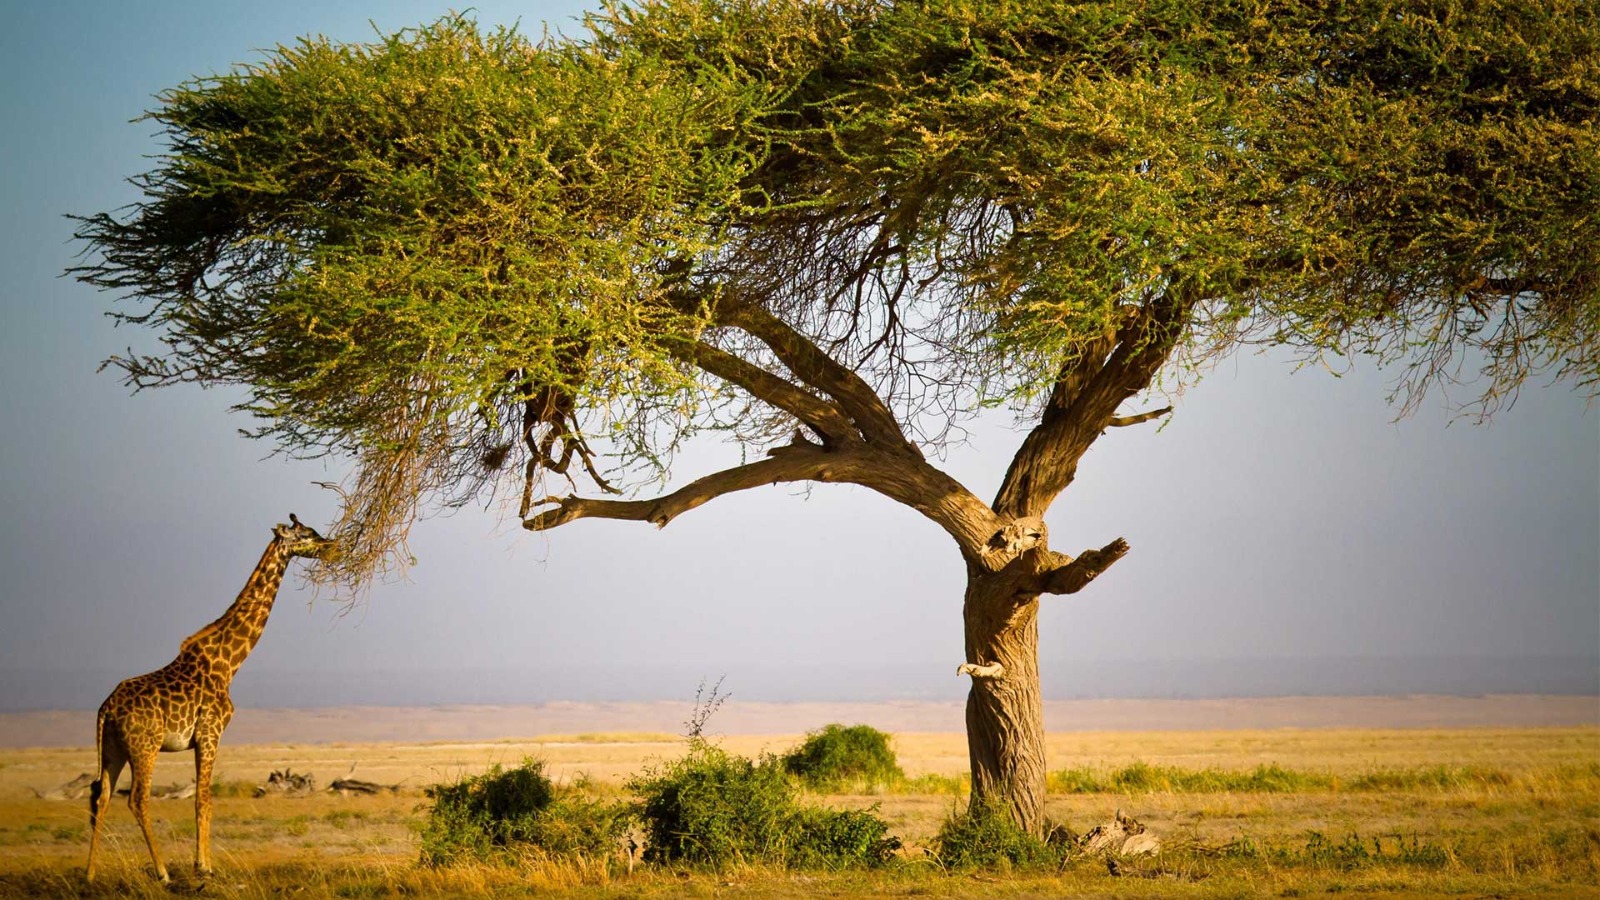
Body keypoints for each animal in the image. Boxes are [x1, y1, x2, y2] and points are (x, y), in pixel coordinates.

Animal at [86, 515, 335, 884]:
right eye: (306, 534)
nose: (332, 545)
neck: (228, 664)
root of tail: (106, 709)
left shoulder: (201, 738)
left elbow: (200, 798)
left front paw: (201, 863)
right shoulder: (210, 733)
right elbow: (204, 798)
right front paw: (204, 867)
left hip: (113, 750)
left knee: (100, 797)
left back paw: (89, 873)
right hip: (145, 747)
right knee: (137, 799)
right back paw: (162, 872)